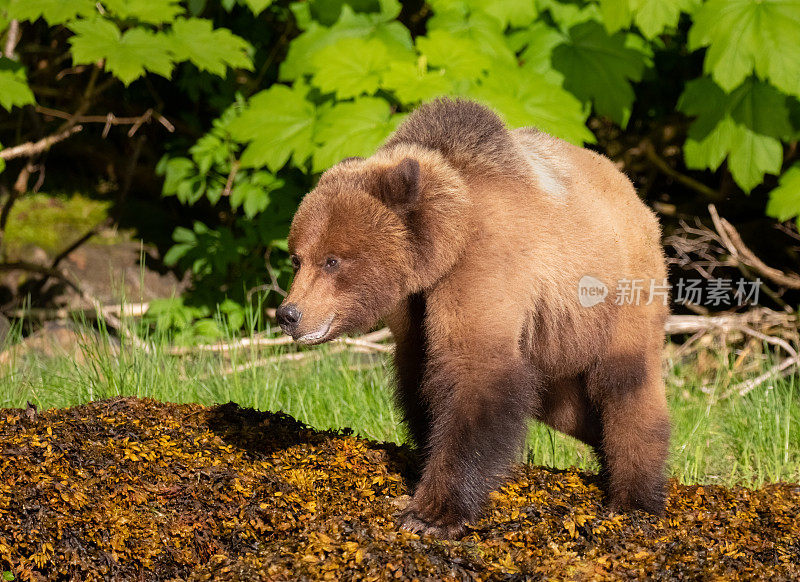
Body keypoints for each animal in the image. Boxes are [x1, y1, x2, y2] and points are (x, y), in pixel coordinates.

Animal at [276, 98, 668, 540]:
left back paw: (635, 498)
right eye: (297, 257)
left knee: (624, 385)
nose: (289, 314)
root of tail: (635, 194)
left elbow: (474, 372)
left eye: (333, 260)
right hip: (554, 342)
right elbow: (422, 378)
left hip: (616, 295)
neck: (444, 243)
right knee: (568, 406)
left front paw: (430, 514)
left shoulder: (484, 265)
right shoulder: (415, 310)